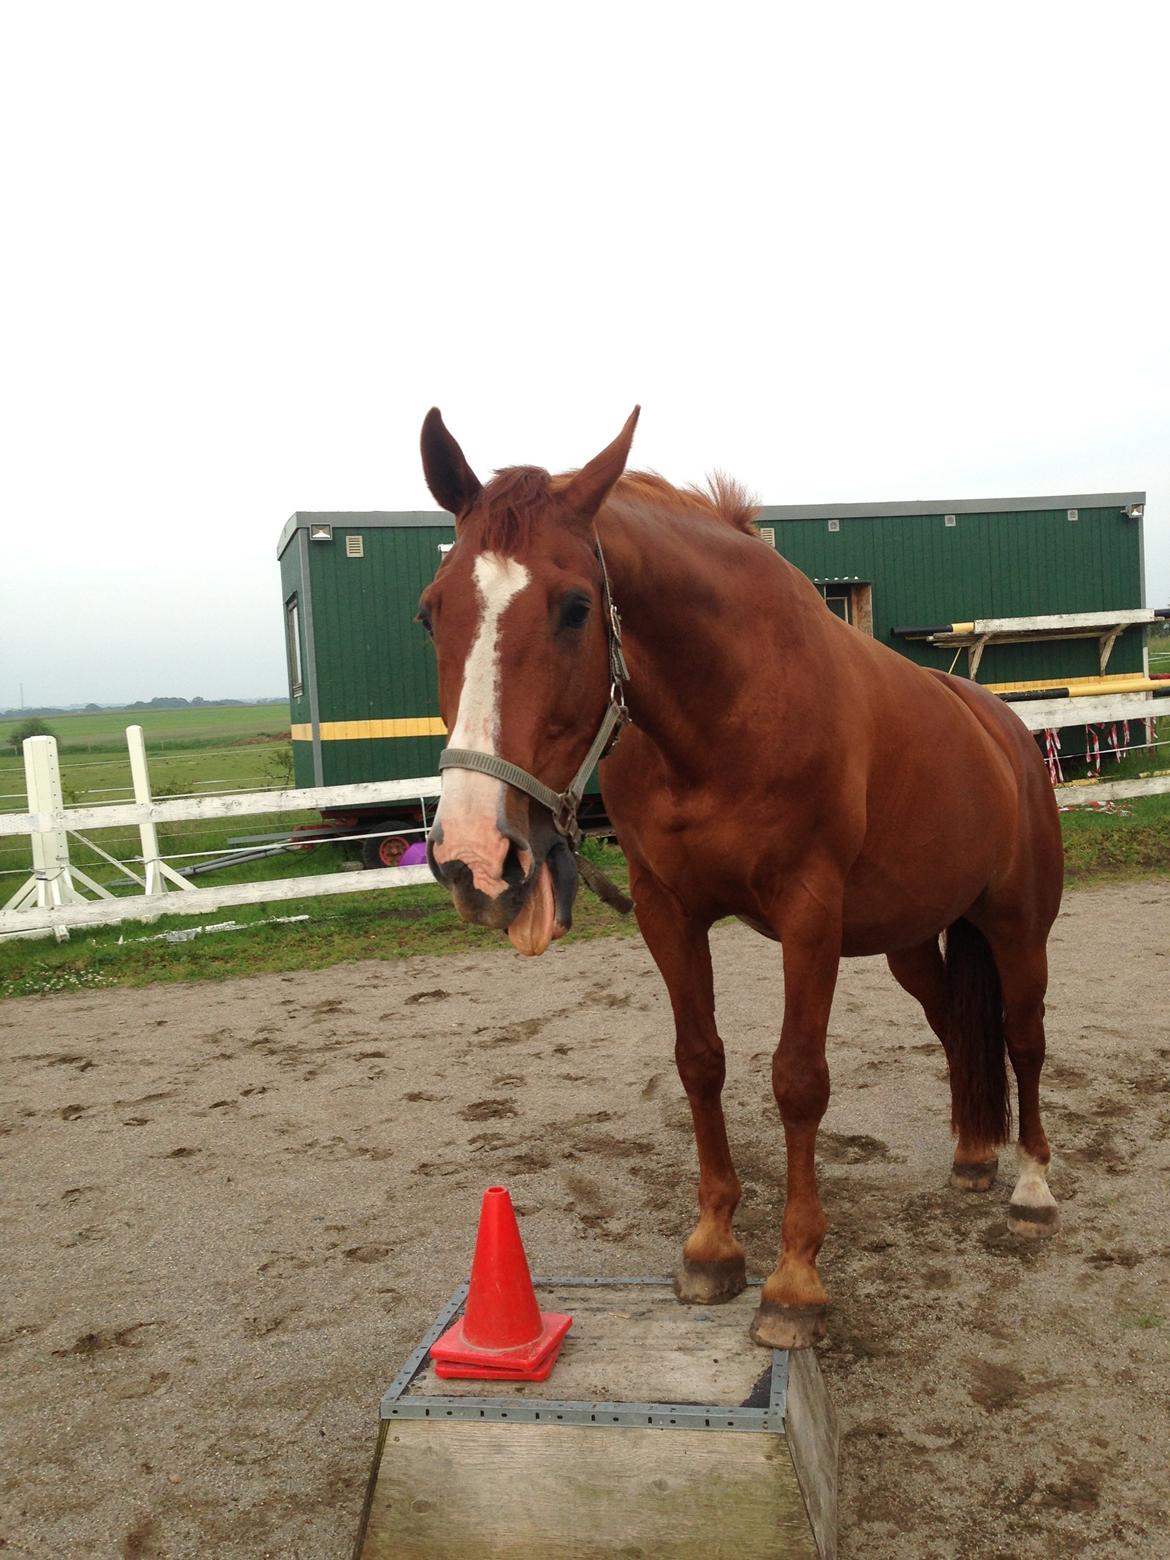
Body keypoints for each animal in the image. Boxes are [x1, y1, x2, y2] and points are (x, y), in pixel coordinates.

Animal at [418, 408, 1067, 1347]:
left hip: (1018, 926)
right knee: (956, 1026)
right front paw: (713, 1247)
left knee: (1022, 1039)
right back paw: (974, 1156)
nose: (474, 853)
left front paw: (794, 1281)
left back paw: (1032, 1187)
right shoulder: (668, 910)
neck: (724, 708)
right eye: (431, 613)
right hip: (912, 941)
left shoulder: (809, 914)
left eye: (576, 608)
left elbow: (798, 1080)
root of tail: (1008, 730)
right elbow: (700, 1062)